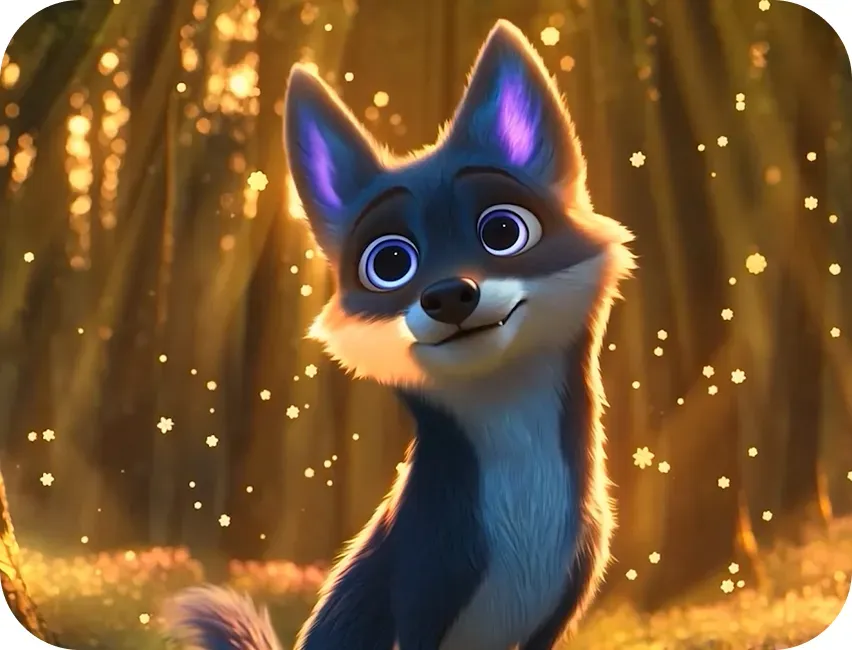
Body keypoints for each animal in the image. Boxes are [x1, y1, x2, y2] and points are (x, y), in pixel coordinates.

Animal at [163, 19, 634, 650]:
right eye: (390, 263)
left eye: (503, 231)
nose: (449, 295)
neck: (524, 504)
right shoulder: (420, 589)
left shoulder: (558, 608)